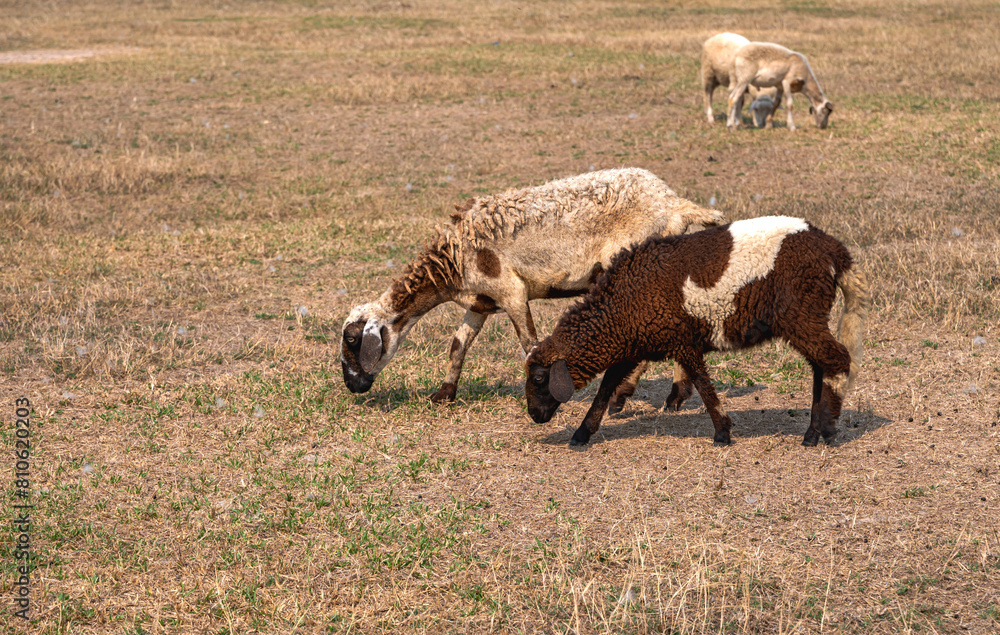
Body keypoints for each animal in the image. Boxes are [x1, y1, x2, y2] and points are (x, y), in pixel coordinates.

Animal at [341, 168, 725, 405]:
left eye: (352, 340)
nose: (353, 385)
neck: (452, 261)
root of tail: (675, 203)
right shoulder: (481, 301)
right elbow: (458, 345)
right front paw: (444, 394)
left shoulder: (510, 291)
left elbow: (529, 345)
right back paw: (675, 396)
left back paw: (625, 394)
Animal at [524, 216, 869, 448]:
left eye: (539, 378)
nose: (535, 415)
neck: (621, 306)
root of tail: (835, 251)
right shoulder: (635, 343)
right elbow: (607, 386)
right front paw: (582, 433)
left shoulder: (682, 339)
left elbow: (702, 384)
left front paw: (722, 433)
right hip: (808, 316)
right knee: (821, 366)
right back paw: (814, 431)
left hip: (802, 314)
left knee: (836, 360)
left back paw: (825, 430)